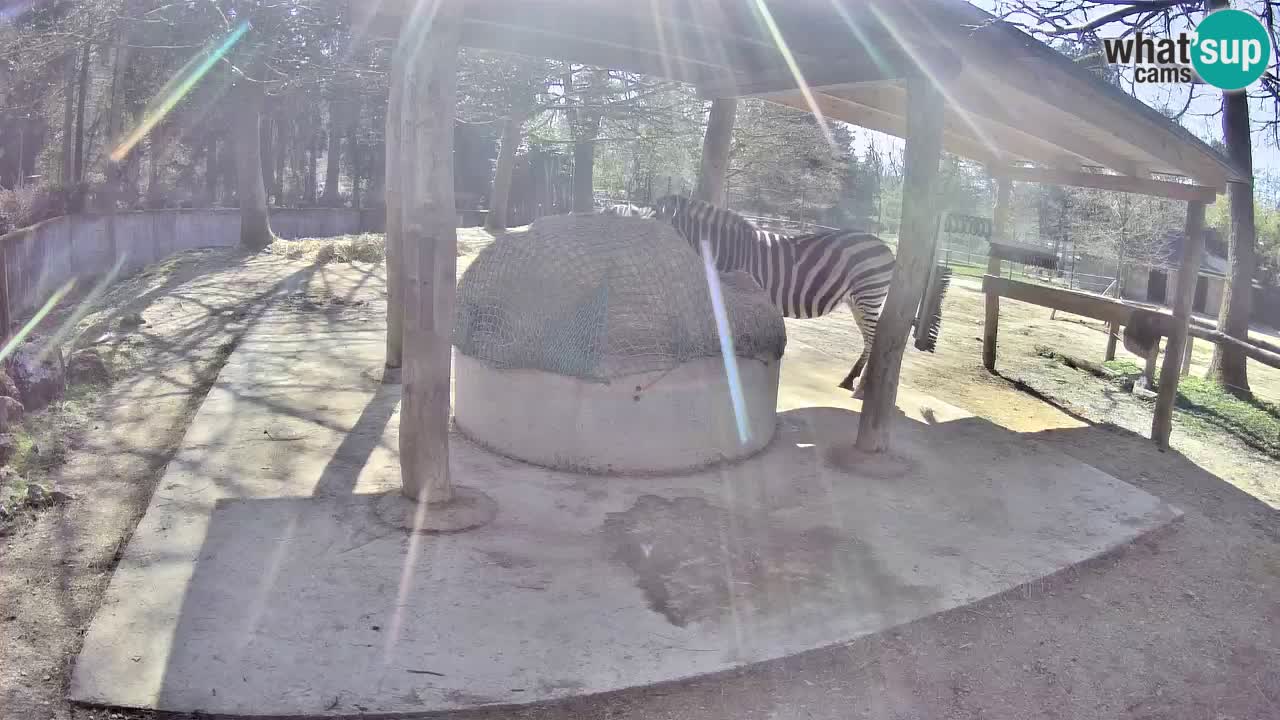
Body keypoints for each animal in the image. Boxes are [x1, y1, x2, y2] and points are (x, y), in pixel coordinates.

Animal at [643, 195, 896, 397]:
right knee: (869, 339)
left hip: (869, 295)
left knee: (873, 338)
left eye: (654, 229)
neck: (728, 251)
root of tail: (884, 246)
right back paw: (852, 380)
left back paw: (860, 387)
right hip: (856, 302)